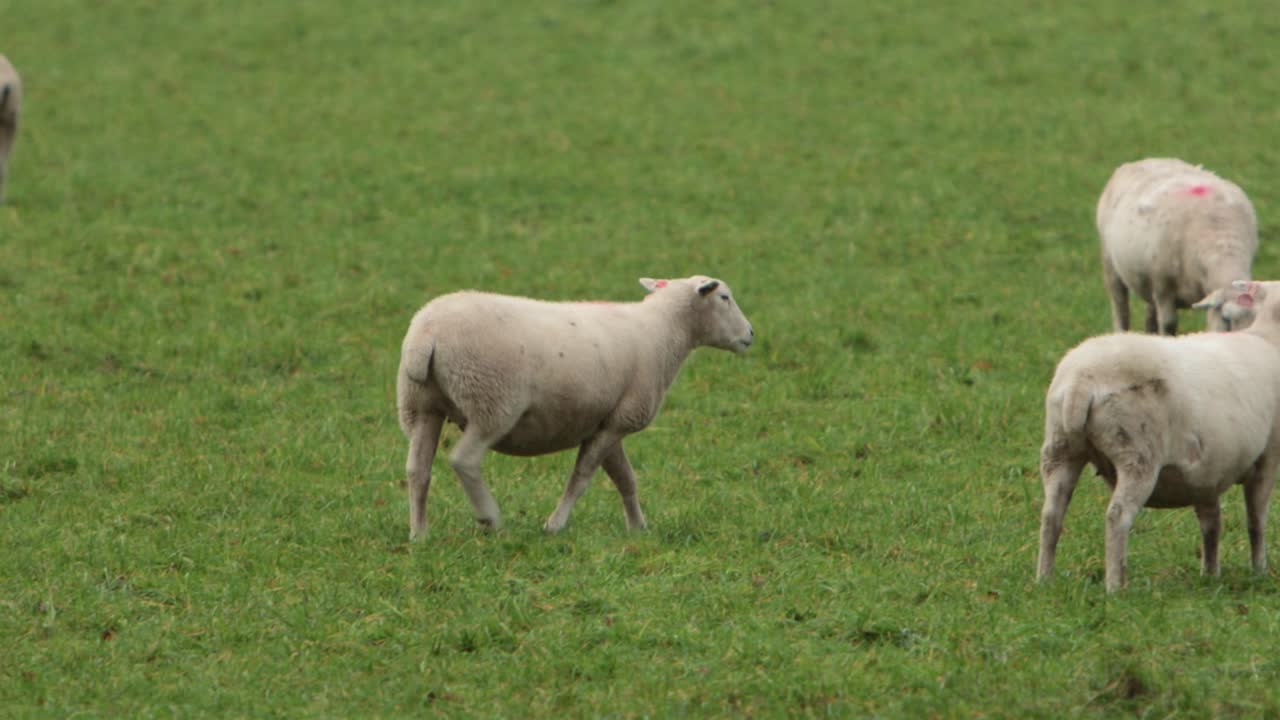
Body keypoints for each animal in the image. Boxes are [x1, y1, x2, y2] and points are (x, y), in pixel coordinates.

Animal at [395, 275, 755, 539]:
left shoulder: (610, 420)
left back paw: (419, 534)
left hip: (421, 405)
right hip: (492, 403)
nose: (750, 334)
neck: (664, 331)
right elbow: (581, 479)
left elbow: (625, 479)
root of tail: (426, 336)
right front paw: (555, 525)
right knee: (464, 460)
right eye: (724, 298)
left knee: (417, 470)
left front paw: (638, 528)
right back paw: (491, 519)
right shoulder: (621, 419)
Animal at [1037, 281, 1280, 592]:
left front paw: (1210, 574)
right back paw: (1116, 586)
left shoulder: (1206, 472)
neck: (1267, 337)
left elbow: (1211, 523)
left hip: (1060, 449)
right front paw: (1259, 571)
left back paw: (1044, 579)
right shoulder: (1267, 457)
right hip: (1137, 454)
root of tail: (1082, 380)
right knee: (1117, 516)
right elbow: (1256, 521)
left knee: (1051, 514)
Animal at [1096, 157, 1258, 335]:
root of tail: (1142, 161)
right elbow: (1168, 324)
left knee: (1149, 314)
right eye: (1226, 318)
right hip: (1111, 264)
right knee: (1120, 307)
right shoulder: (1162, 288)